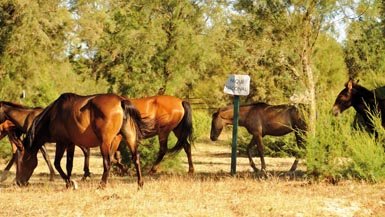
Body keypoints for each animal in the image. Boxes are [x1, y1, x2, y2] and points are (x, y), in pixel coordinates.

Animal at [15, 92, 146, 187]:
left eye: (21, 162)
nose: (19, 182)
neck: (54, 115)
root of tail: (120, 101)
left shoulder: (62, 142)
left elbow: (57, 163)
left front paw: (69, 182)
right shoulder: (70, 144)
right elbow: (69, 165)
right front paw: (69, 183)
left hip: (105, 142)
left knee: (107, 162)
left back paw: (102, 185)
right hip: (127, 138)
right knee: (135, 158)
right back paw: (139, 183)